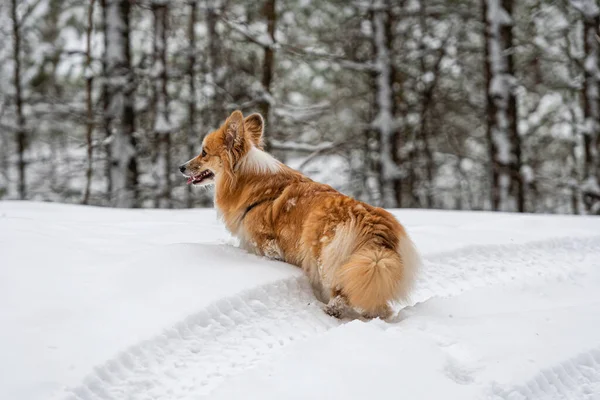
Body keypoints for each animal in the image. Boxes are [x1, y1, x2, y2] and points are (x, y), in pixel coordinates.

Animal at [180, 109, 420, 318]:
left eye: (203, 152)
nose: (181, 167)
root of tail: (374, 227)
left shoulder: (265, 246)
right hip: (370, 267)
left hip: (327, 258)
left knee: (341, 293)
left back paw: (330, 310)